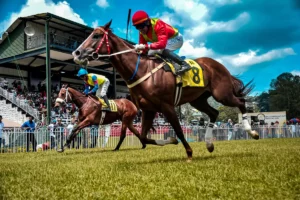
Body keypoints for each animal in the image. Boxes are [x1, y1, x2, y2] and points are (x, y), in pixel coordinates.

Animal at [71, 20, 258, 161]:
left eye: (96, 35)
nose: (76, 52)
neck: (141, 70)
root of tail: (218, 64)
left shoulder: (166, 106)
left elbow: (179, 130)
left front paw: (189, 153)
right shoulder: (148, 109)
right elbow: (144, 136)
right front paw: (171, 140)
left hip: (222, 94)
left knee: (241, 102)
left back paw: (252, 131)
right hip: (198, 99)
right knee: (214, 113)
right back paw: (209, 144)